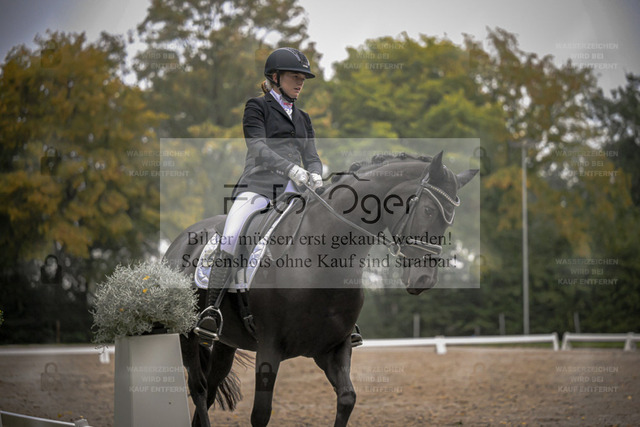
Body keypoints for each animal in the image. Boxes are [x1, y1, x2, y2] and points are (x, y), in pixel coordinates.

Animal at [163, 151, 478, 426]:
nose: (424, 279)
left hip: (226, 342)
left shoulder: (333, 348)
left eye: (450, 217)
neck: (322, 255)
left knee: (211, 388)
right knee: (199, 388)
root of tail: (179, 242)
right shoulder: (269, 346)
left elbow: (347, 398)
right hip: (187, 335)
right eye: (428, 210)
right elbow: (261, 414)